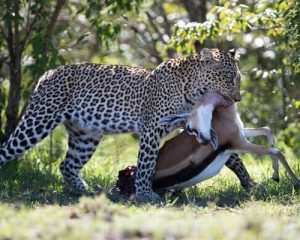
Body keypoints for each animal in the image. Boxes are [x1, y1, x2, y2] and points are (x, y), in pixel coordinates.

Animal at [0, 47, 241, 202]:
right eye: (229, 78)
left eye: (238, 78)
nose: (238, 98)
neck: (193, 90)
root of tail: (48, 72)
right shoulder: (152, 128)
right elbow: (146, 163)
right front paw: (145, 194)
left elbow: (231, 154)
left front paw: (247, 184)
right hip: (37, 122)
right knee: (6, 149)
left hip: (85, 136)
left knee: (67, 165)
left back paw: (87, 192)